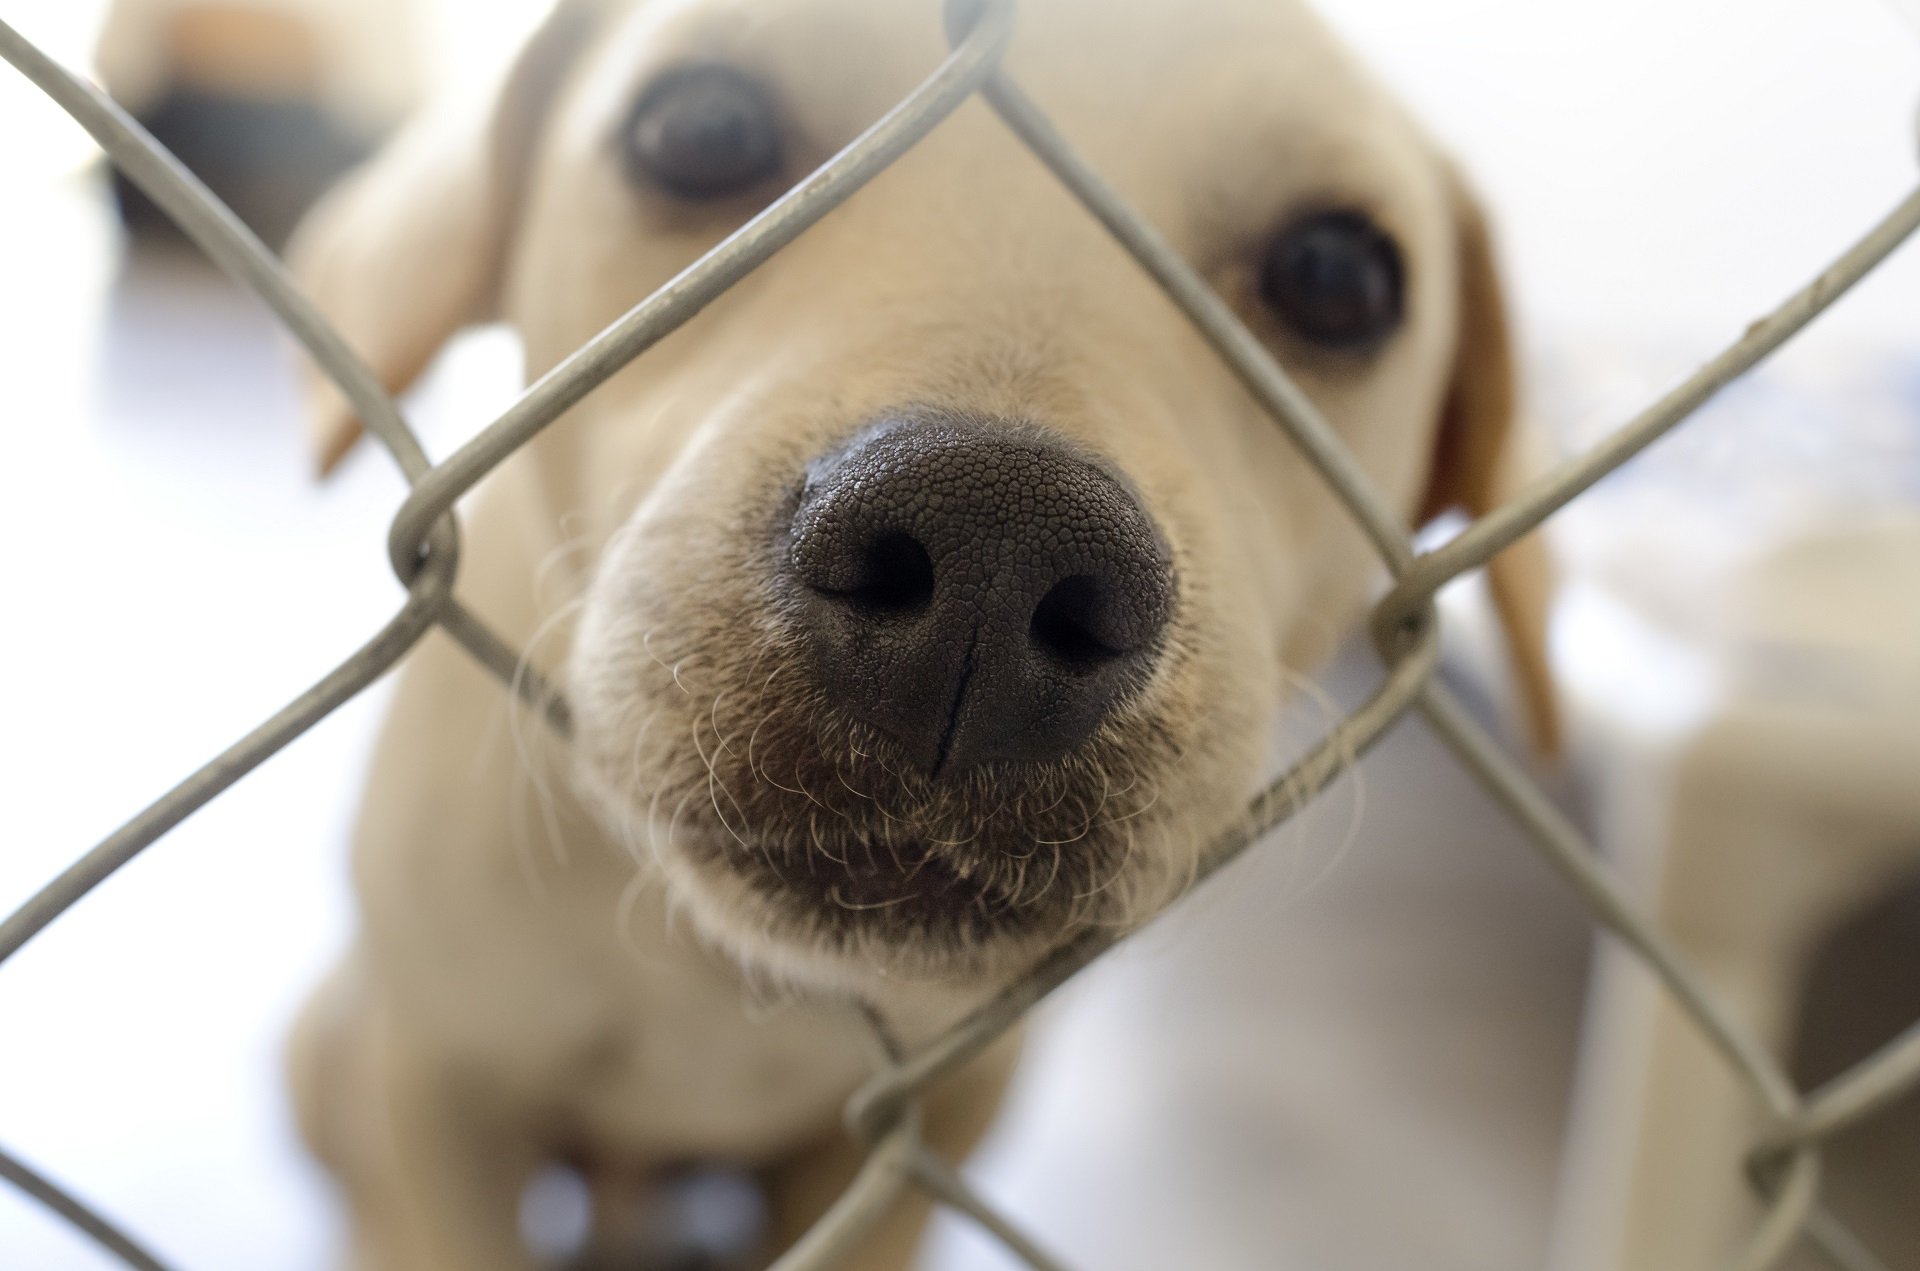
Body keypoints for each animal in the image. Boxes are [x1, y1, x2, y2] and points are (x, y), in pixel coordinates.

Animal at [284, 0, 1551, 1267]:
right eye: (702, 128)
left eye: (1335, 273)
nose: (996, 553)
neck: (718, 971)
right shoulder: (437, 1084)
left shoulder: (932, 1126)